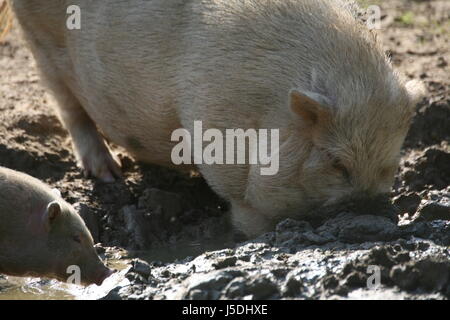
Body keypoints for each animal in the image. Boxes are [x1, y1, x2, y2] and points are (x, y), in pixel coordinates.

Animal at [5, 0, 424, 235]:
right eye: (337, 163)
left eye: (389, 166)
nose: (373, 212)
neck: (269, 117)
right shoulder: (221, 143)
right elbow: (246, 209)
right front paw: (248, 236)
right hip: (41, 41)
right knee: (69, 107)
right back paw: (109, 174)